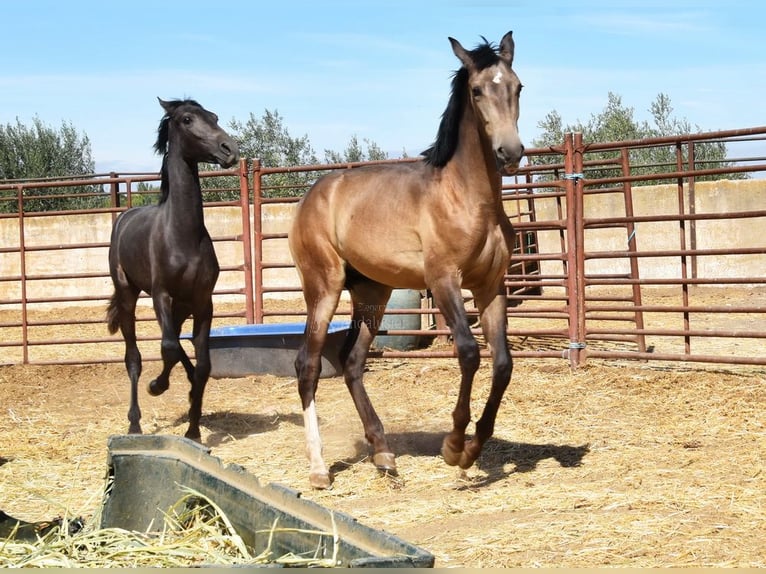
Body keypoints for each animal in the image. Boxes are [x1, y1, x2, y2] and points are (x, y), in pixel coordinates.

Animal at [105, 98, 237, 440]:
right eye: (187, 119)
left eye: (214, 116)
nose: (229, 149)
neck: (182, 235)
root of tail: (124, 218)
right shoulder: (160, 295)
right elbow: (167, 347)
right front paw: (157, 386)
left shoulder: (203, 301)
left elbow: (201, 363)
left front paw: (193, 428)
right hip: (129, 294)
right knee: (134, 357)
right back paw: (135, 422)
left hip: (182, 303)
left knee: (177, 343)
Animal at [290, 31, 528, 490]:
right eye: (477, 90)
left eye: (517, 86)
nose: (510, 152)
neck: (468, 199)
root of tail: (312, 197)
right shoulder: (443, 281)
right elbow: (469, 353)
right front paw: (454, 446)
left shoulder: (490, 287)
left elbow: (503, 364)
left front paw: (473, 449)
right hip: (323, 289)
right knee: (306, 365)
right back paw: (318, 469)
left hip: (372, 293)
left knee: (352, 363)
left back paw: (383, 454)